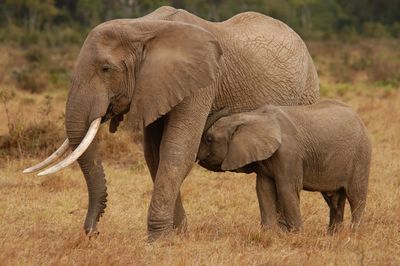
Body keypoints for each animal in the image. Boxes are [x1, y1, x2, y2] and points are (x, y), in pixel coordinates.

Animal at [24, 5, 318, 239]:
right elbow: (154, 154)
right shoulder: (154, 87)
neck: (144, 28)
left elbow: (177, 150)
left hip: (307, 88)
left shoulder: (202, 81)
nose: (92, 232)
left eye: (106, 69)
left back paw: (285, 233)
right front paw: (178, 235)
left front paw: (157, 239)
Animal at [198, 100, 372, 233]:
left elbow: (286, 189)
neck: (252, 116)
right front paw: (267, 234)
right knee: (334, 199)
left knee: (356, 196)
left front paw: (296, 235)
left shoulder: (289, 153)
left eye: (208, 139)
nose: (224, 107)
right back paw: (334, 235)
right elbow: (263, 189)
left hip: (361, 155)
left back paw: (354, 233)